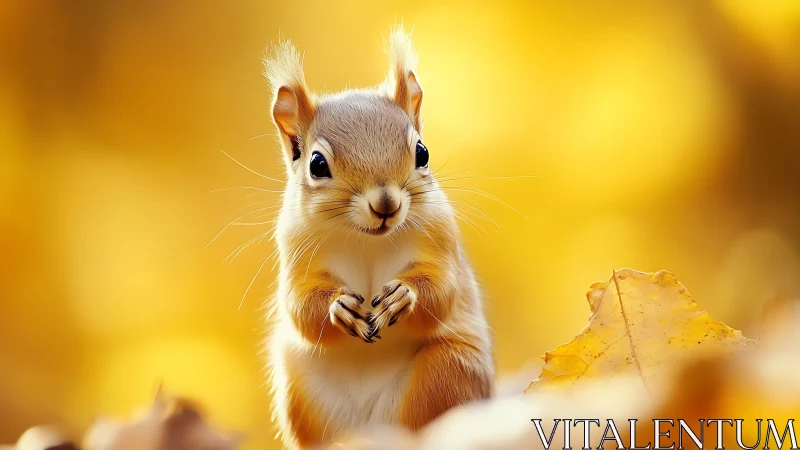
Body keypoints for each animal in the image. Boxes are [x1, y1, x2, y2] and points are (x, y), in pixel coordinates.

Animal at [263, 28, 494, 449]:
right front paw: (338, 306)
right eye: (317, 164)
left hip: (446, 371)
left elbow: (443, 289)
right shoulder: (296, 249)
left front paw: (404, 295)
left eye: (422, 152)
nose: (386, 204)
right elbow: (300, 305)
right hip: (299, 387)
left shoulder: (439, 236)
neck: (365, 239)